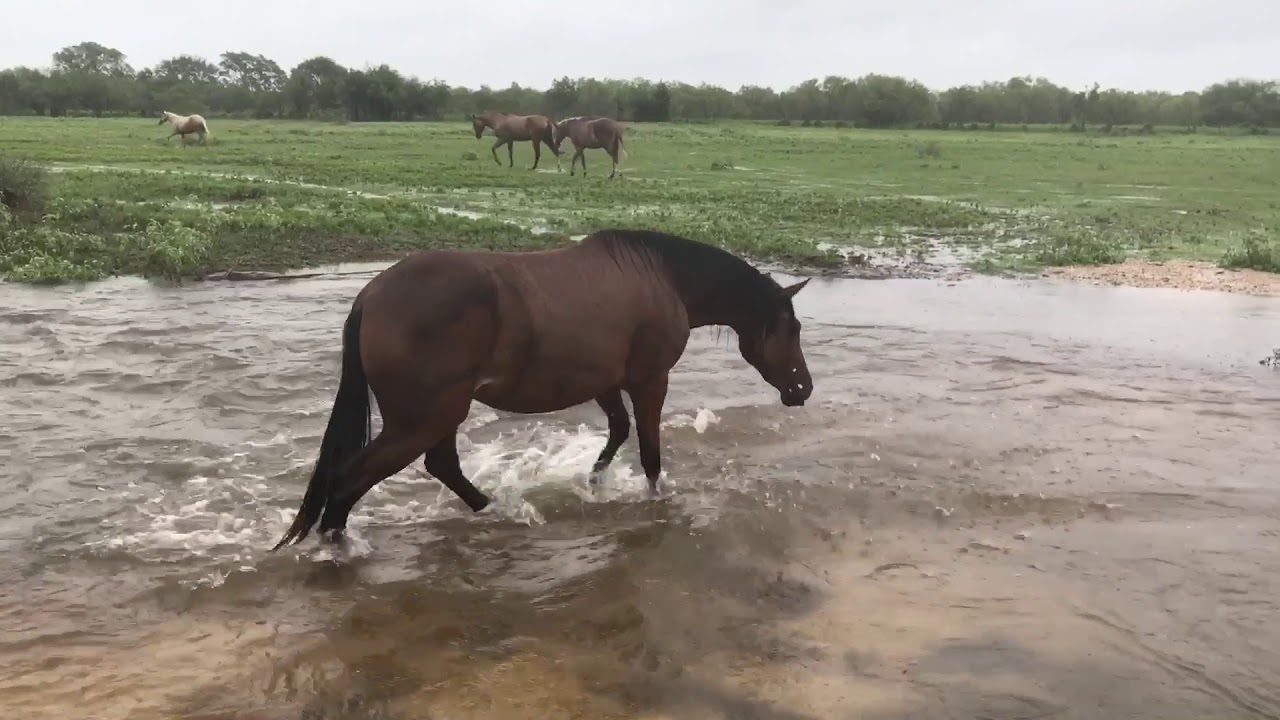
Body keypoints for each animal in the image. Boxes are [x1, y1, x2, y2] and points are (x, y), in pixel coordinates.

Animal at [271, 228, 815, 550]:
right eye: (791, 328)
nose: (803, 388)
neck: (661, 277)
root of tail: (370, 296)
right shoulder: (648, 380)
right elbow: (650, 453)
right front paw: (653, 502)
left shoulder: (605, 381)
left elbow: (617, 433)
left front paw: (594, 484)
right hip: (423, 418)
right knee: (350, 480)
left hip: (441, 413)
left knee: (441, 466)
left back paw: (497, 510)